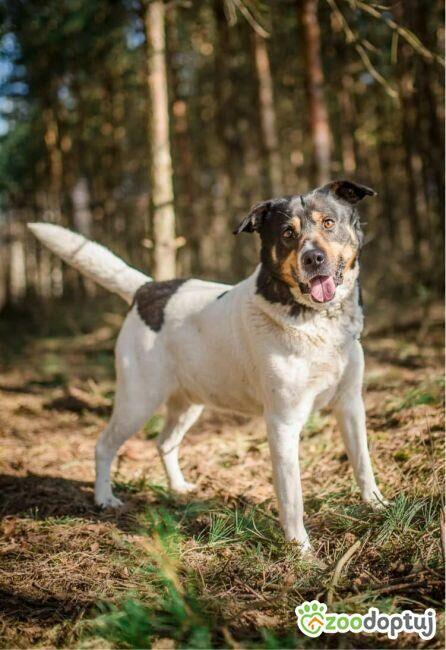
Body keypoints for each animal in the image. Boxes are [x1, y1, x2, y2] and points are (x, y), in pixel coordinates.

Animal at [27, 178, 386, 552]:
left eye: (328, 222)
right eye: (288, 233)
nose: (313, 258)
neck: (316, 321)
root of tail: (146, 289)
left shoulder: (350, 404)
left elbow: (362, 462)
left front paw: (377, 505)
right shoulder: (283, 422)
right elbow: (292, 496)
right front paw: (300, 548)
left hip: (190, 401)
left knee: (165, 442)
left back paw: (178, 488)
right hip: (137, 400)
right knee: (104, 445)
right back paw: (104, 498)